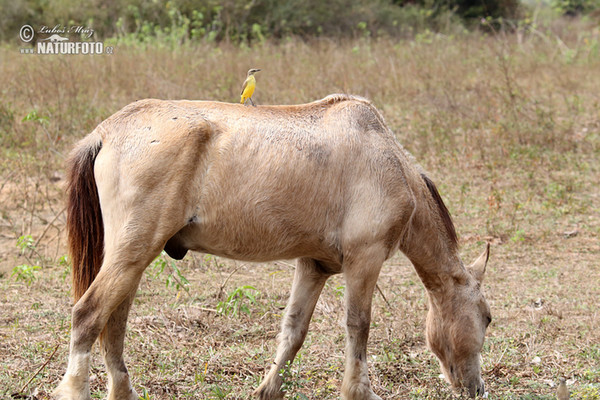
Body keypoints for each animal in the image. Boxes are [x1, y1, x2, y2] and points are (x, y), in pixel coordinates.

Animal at [54, 94, 490, 400]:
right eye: (486, 318)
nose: (477, 389)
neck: (388, 160)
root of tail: (106, 131)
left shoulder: (314, 266)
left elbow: (293, 331)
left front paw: (268, 390)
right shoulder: (364, 261)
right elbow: (359, 326)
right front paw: (359, 391)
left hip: (130, 258)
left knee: (113, 323)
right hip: (133, 252)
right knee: (88, 315)